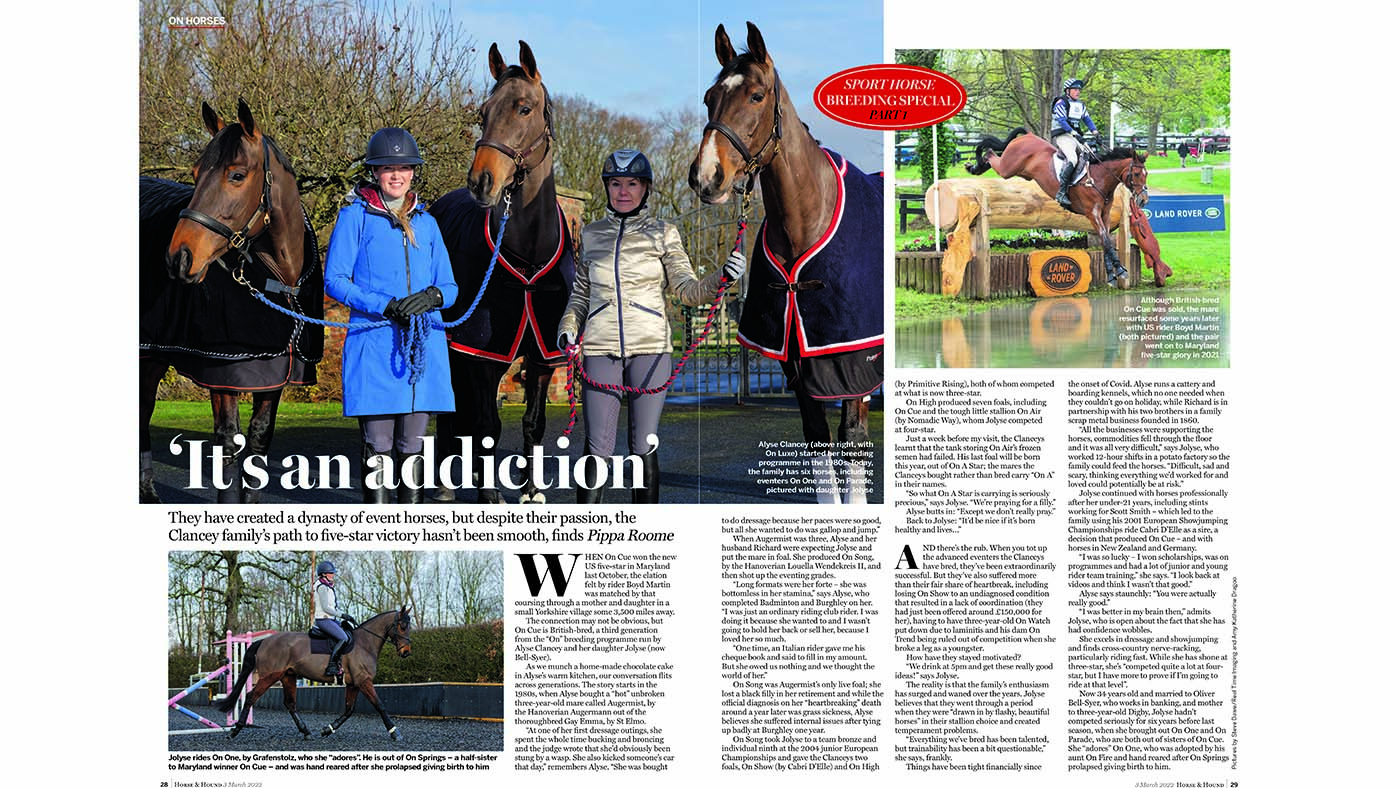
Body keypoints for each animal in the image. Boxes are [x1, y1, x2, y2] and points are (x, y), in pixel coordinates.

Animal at [139, 99, 323, 503]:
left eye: (237, 175)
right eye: (194, 174)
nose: (179, 258)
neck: (276, 279)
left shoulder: (273, 374)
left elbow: (257, 441)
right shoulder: (223, 371)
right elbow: (228, 443)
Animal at [215, 606, 413, 740]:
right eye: (402, 626)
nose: (406, 652)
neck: (365, 643)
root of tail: (264, 641)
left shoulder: (353, 683)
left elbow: (349, 710)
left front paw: (328, 729)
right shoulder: (363, 681)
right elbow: (379, 705)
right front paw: (395, 732)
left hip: (288, 676)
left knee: (290, 703)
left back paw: (306, 732)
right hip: (270, 676)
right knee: (251, 697)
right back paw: (235, 730)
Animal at [429, 41, 574, 504]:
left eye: (524, 108)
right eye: (483, 111)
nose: (481, 181)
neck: (527, 254)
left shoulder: (544, 356)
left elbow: (533, 422)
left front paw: (531, 491)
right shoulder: (483, 355)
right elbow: (487, 427)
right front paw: (491, 496)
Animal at [689, 22, 883, 504]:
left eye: (757, 95)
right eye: (709, 97)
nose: (706, 177)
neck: (807, 221)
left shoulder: (853, 361)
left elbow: (852, 440)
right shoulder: (796, 362)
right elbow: (817, 439)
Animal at [965, 127, 1150, 288]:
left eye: (1146, 174)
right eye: (1136, 174)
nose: (1143, 199)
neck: (1099, 179)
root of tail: (1028, 135)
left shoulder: (1104, 215)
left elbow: (1106, 242)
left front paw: (1112, 273)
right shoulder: (1092, 214)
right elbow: (1105, 239)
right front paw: (1118, 270)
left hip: (1021, 172)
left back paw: (976, 166)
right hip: (1007, 168)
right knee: (990, 153)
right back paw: (974, 166)